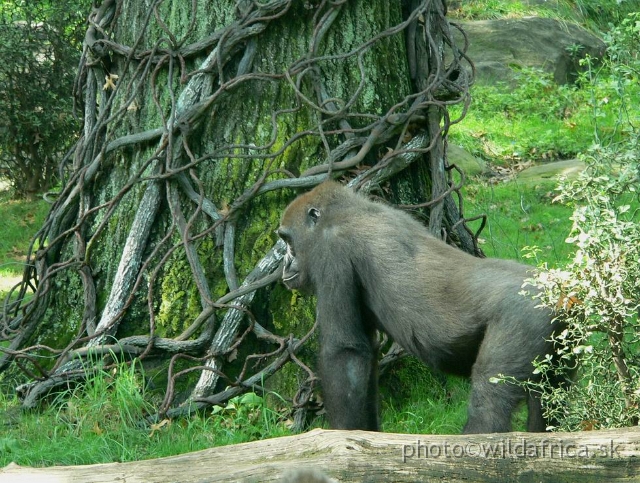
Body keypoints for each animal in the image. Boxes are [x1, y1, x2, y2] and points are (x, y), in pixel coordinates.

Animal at [276, 181, 560, 434]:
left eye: (288, 241)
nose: (285, 267)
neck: (349, 210)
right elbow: (365, 357)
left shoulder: (331, 252)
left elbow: (345, 351)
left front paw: (342, 438)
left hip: (523, 318)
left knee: (490, 401)